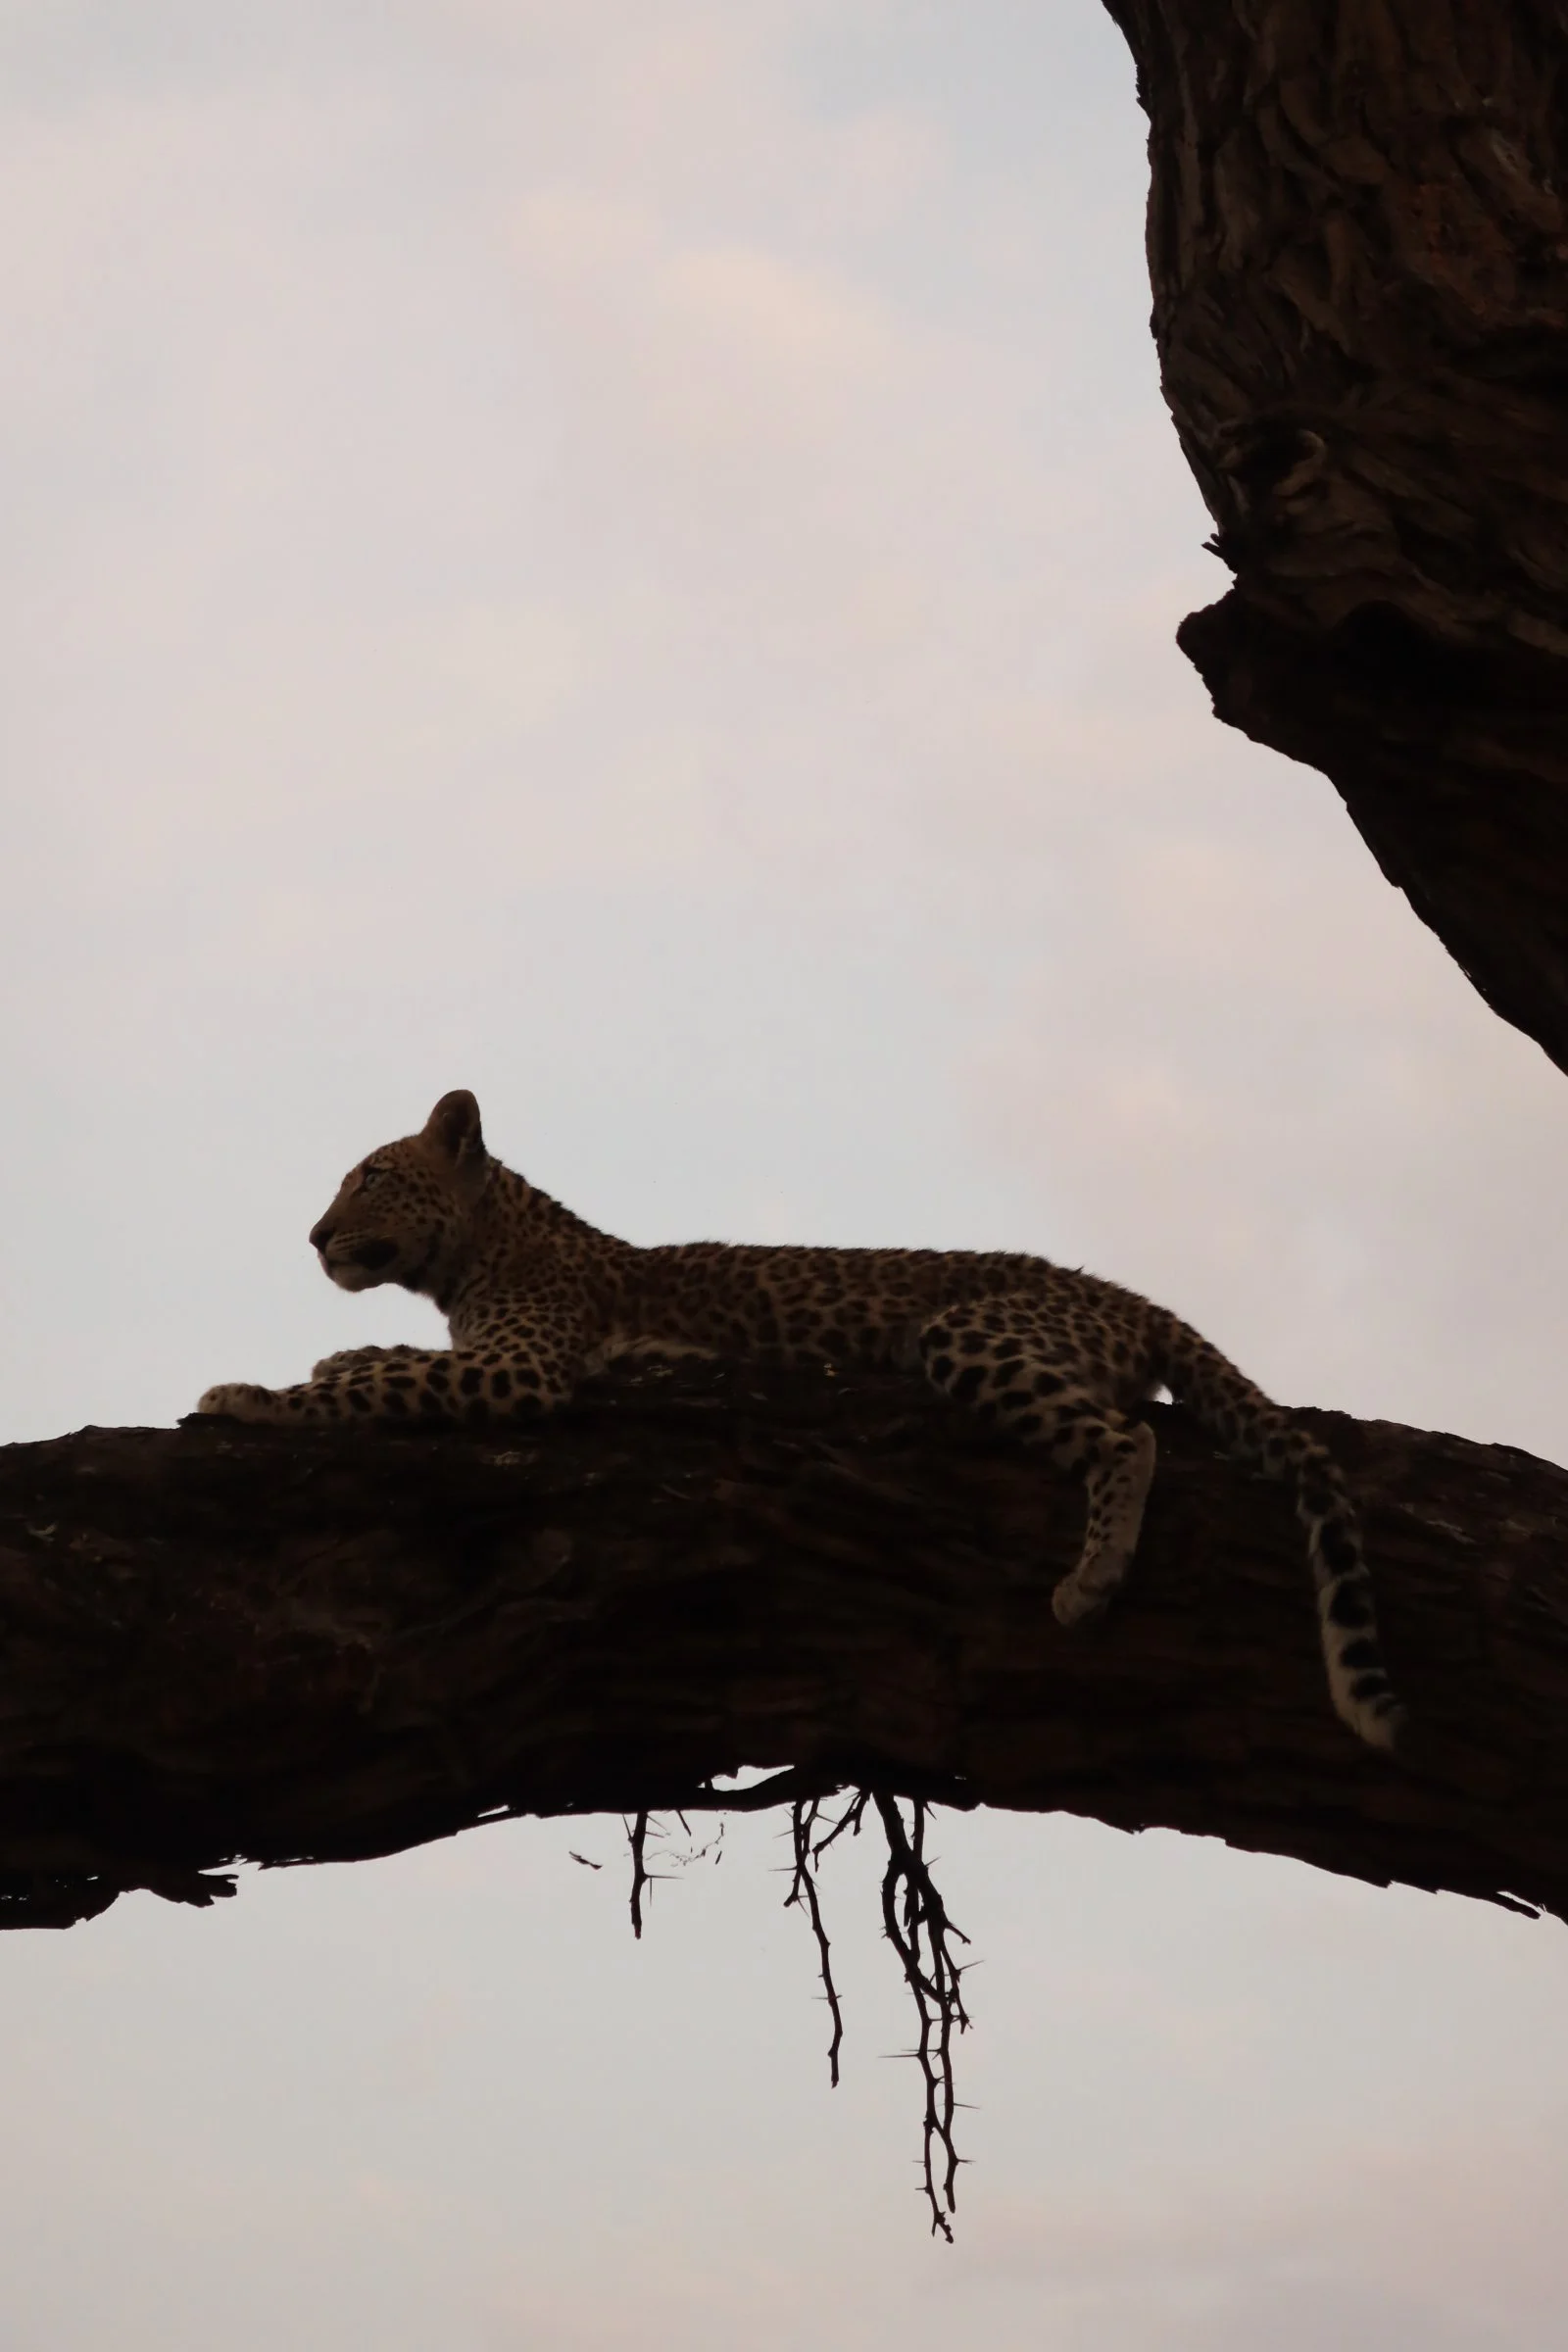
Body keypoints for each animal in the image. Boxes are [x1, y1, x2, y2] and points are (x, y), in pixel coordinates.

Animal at [196, 1088, 1405, 1752]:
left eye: (371, 1178)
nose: (314, 1236)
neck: (473, 1256)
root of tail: (1127, 1296)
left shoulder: (526, 1367)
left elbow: (381, 1383)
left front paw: (250, 1397)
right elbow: (389, 1362)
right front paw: (327, 1355)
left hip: (970, 1334)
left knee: (1129, 1436)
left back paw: (1091, 1580)